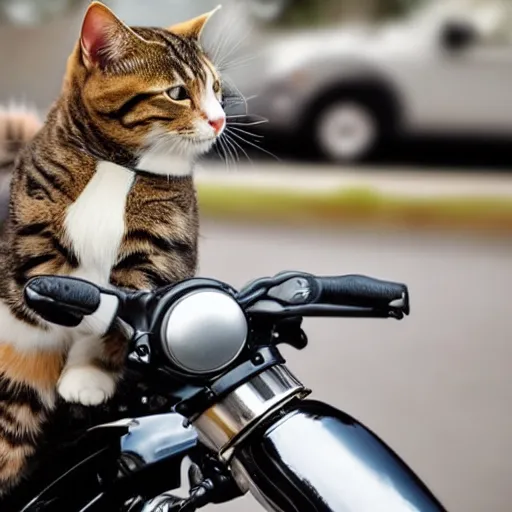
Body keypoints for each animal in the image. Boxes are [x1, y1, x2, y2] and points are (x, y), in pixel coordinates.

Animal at [0, 0, 226, 496]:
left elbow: (121, 310)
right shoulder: (34, 243)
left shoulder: (161, 251)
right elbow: (76, 298)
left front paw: (89, 374)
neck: (115, 166)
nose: (220, 118)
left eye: (216, 88)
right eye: (178, 92)